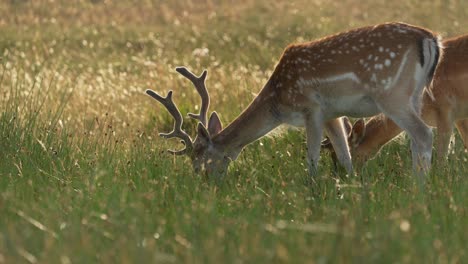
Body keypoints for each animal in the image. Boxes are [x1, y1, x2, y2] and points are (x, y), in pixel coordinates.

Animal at [147, 23, 442, 179]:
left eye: (199, 161)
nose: (204, 184)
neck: (279, 100)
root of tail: (430, 39)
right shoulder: (333, 114)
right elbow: (345, 157)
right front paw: (349, 187)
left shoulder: (311, 107)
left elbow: (311, 159)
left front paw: (313, 191)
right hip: (415, 95)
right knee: (416, 139)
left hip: (392, 94)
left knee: (424, 133)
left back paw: (419, 187)